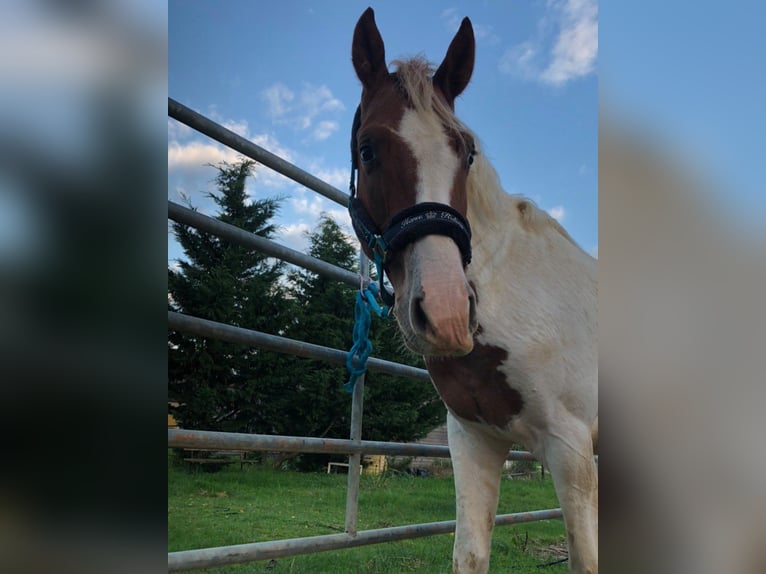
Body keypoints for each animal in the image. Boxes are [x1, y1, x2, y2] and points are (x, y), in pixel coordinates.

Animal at [352, 9, 604, 574]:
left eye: (467, 152)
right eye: (368, 149)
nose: (446, 315)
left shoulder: (572, 449)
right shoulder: (474, 441)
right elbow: (468, 555)